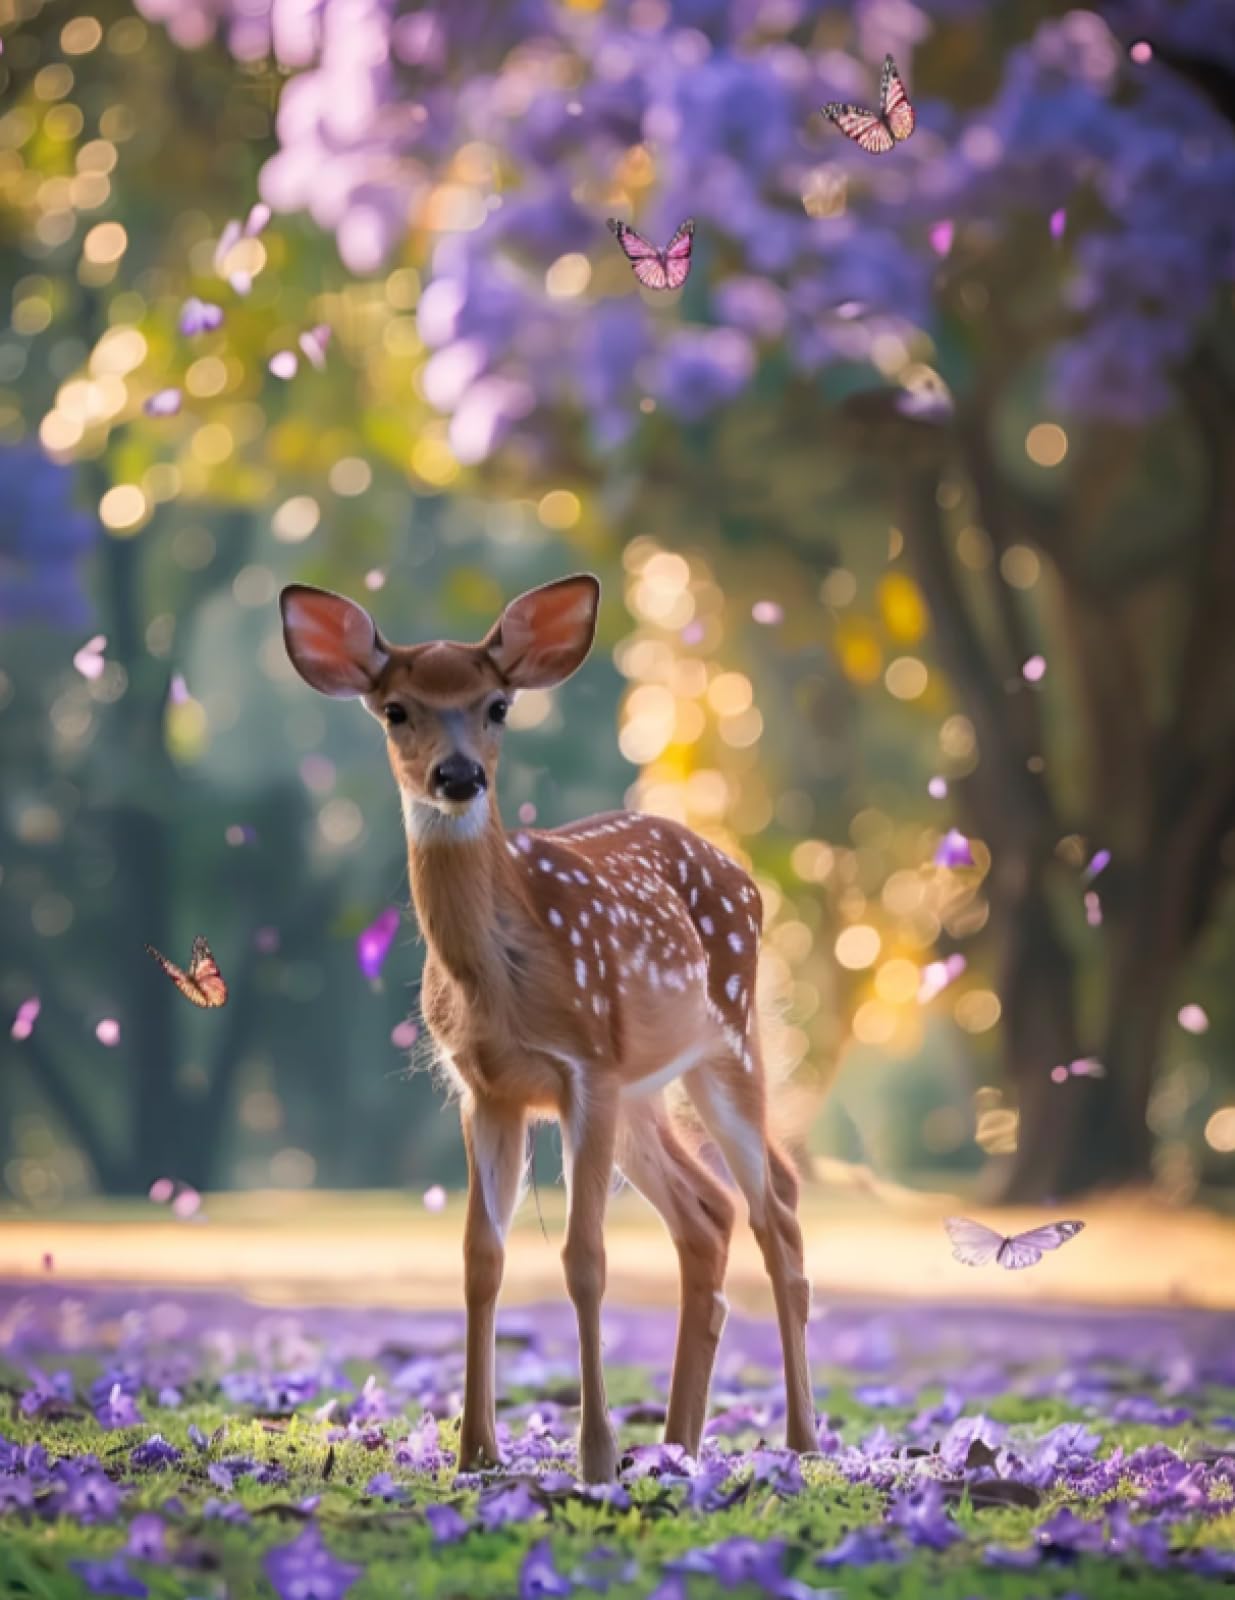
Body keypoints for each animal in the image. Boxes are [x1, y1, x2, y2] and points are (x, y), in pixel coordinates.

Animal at [279, 573, 816, 1481]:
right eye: (395, 710)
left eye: (497, 705)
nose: (458, 775)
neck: (497, 978)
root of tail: (742, 875)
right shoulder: (486, 1089)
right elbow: (481, 1259)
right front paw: (475, 1453)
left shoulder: (583, 1068)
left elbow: (583, 1259)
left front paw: (594, 1457)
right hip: (641, 1092)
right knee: (707, 1213)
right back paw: (676, 1443)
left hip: (726, 1043)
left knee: (774, 1209)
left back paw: (801, 1440)